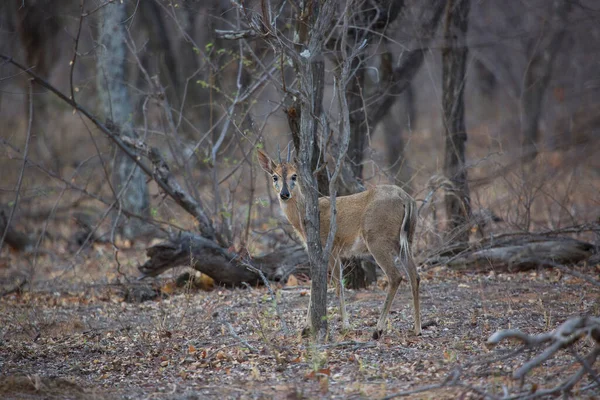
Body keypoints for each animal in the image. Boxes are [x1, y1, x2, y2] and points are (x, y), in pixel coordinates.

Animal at [258, 147, 422, 338]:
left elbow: (333, 285)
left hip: (377, 238)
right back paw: (417, 328)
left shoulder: (329, 247)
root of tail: (406, 199)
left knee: (396, 276)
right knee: (414, 275)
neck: (302, 220)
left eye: (294, 176)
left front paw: (343, 325)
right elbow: (321, 284)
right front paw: (307, 327)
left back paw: (378, 329)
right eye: (274, 177)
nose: (284, 194)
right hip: (406, 239)